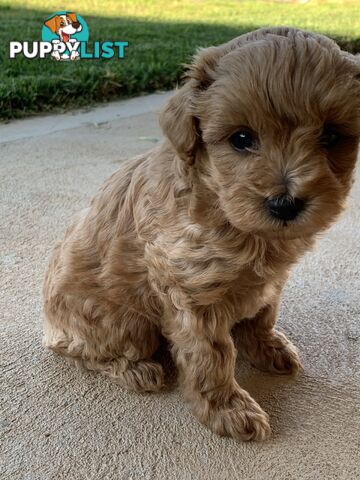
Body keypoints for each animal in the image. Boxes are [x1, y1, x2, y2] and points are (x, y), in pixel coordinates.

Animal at [43, 27, 360, 442]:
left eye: (332, 136)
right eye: (241, 138)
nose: (285, 204)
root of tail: (48, 324)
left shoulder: (271, 279)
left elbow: (263, 314)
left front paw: (267, 347)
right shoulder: (191, 291)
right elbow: (211, 355)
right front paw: (229, 409)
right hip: (124, 324)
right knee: (85, 351)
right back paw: (137, 370)